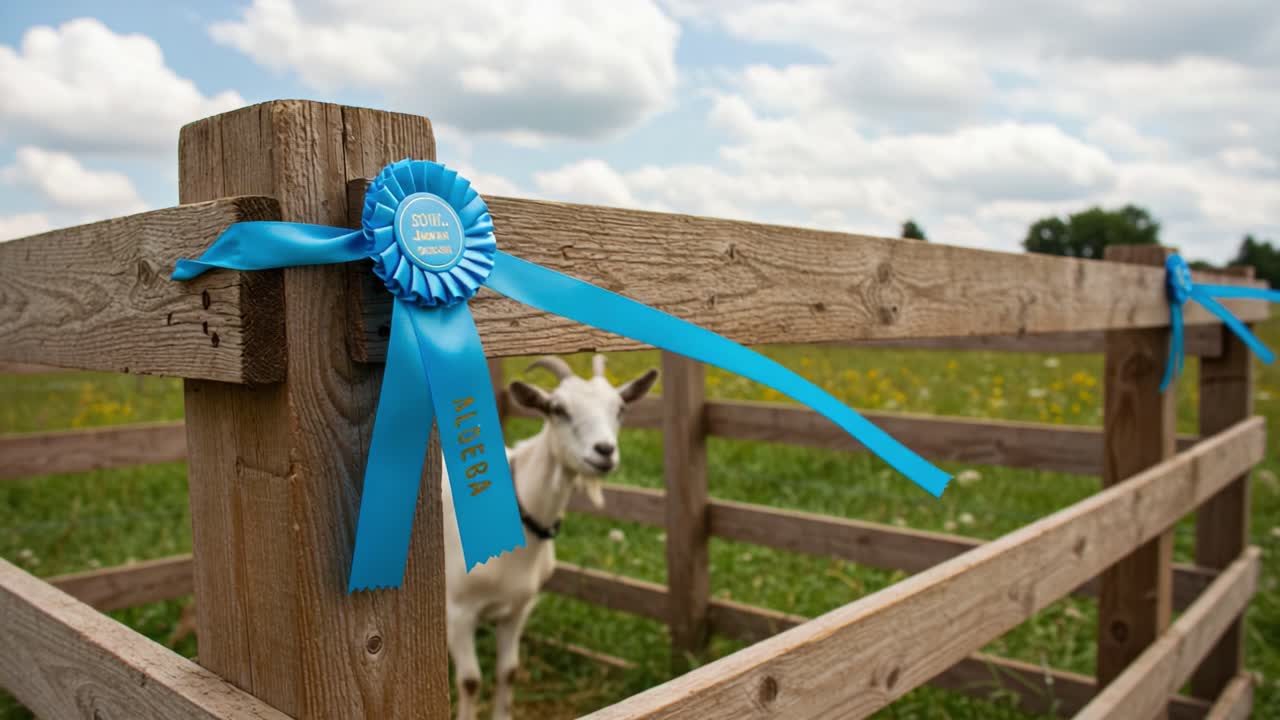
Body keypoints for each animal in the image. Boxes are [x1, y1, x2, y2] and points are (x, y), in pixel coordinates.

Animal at [444, 354, 659, 720]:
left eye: (619, 408)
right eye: (557, 409)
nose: (604, 451)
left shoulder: (518, 606)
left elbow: (509, 671)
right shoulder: (458, 611)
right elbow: (471, 681)